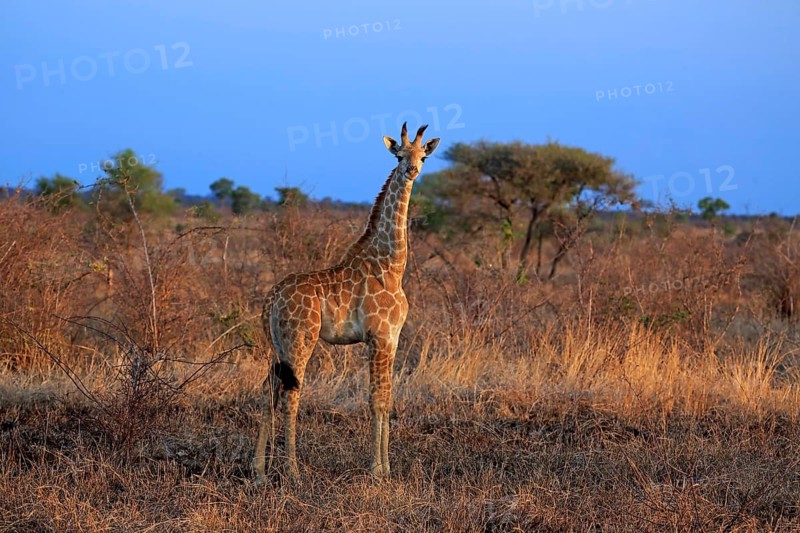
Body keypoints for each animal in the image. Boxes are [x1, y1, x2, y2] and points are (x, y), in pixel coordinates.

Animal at [253, 123, 440, 482]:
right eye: (399, 154)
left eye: (423, 156)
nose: (412, 170)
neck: (391, 264)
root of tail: (271, 299)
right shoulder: (378, 337)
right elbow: (376, 400)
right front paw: (377, 470)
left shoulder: (393, 339)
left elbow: (387, 398)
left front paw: (386, 468)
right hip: (300, 340)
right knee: (291, 395)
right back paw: (293, 471)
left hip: (278, 345)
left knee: (268, 390)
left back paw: (258, 470)